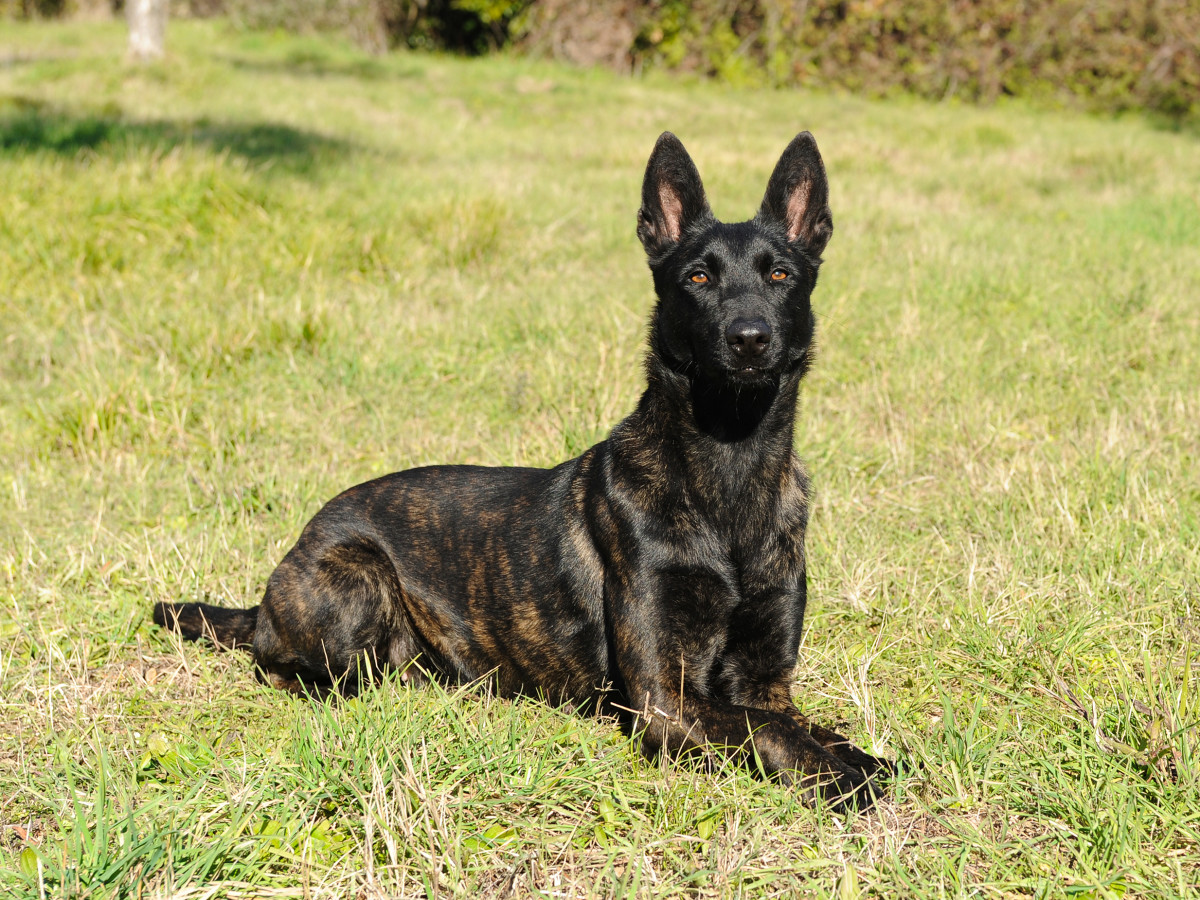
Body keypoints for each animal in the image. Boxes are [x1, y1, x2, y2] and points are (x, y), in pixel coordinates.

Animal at [154, 132, 892, 811]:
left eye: (781, 276)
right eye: (698, 278)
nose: (749, 339)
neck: (729, 469)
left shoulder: (763, 683)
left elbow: (802, 723)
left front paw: (865, 758)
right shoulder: (666, 700)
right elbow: (768, 731)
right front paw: (842, 778)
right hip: (355, 584)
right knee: (292, 671)